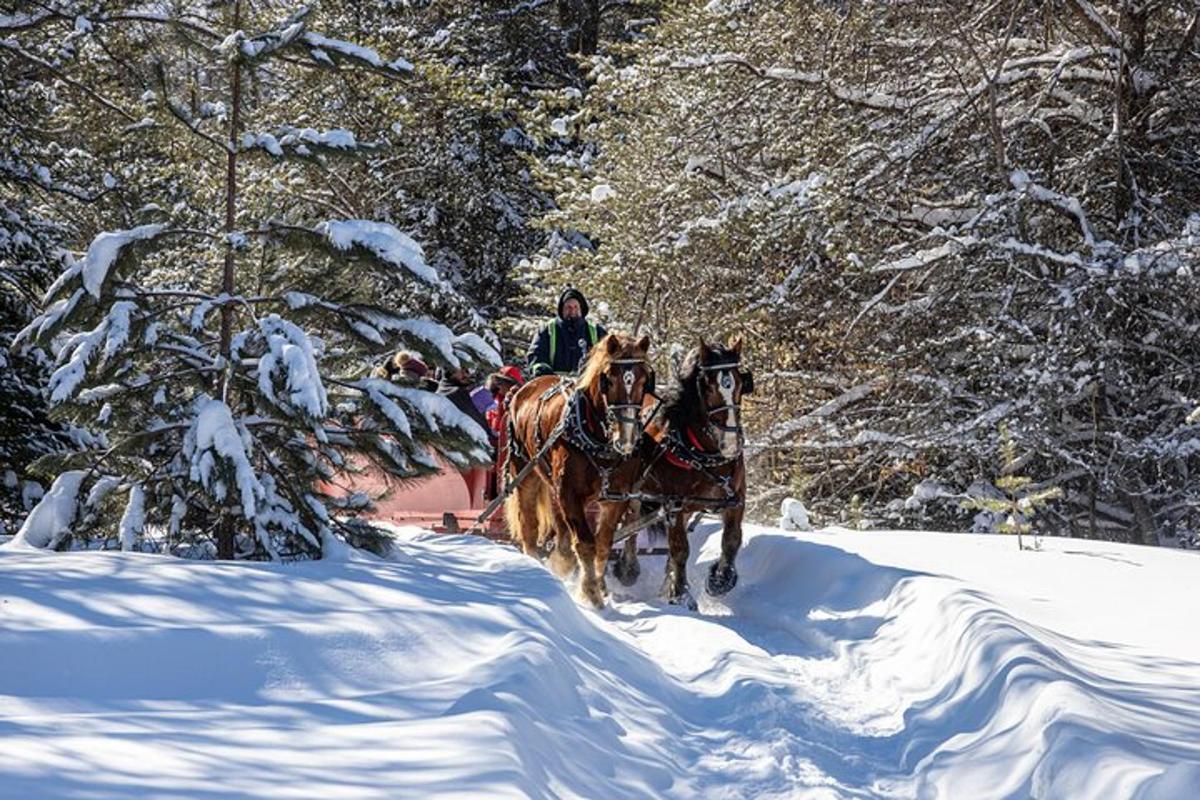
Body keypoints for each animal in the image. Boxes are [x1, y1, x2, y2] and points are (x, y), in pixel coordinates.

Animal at [504, 331, 657, 606]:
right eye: (608, 380)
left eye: (644, 381)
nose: (626, 438)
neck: (598, 439)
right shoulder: (569, 493)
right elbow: (585, 543)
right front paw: (590, 593)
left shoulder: (615, 498)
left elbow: (603, 544)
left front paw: (598, 584)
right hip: (525, 473)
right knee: (528, 525)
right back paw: (535, 565)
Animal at [614, 335, 753, 606]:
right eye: (708, 388)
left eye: (741, 383)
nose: (732, 444)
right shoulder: (674, 504)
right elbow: (680, 549)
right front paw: (679, 594)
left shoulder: (736, 499)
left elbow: (731, 540)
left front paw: (720, 580)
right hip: (636, 493)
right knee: (631, 524)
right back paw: (628, 569)